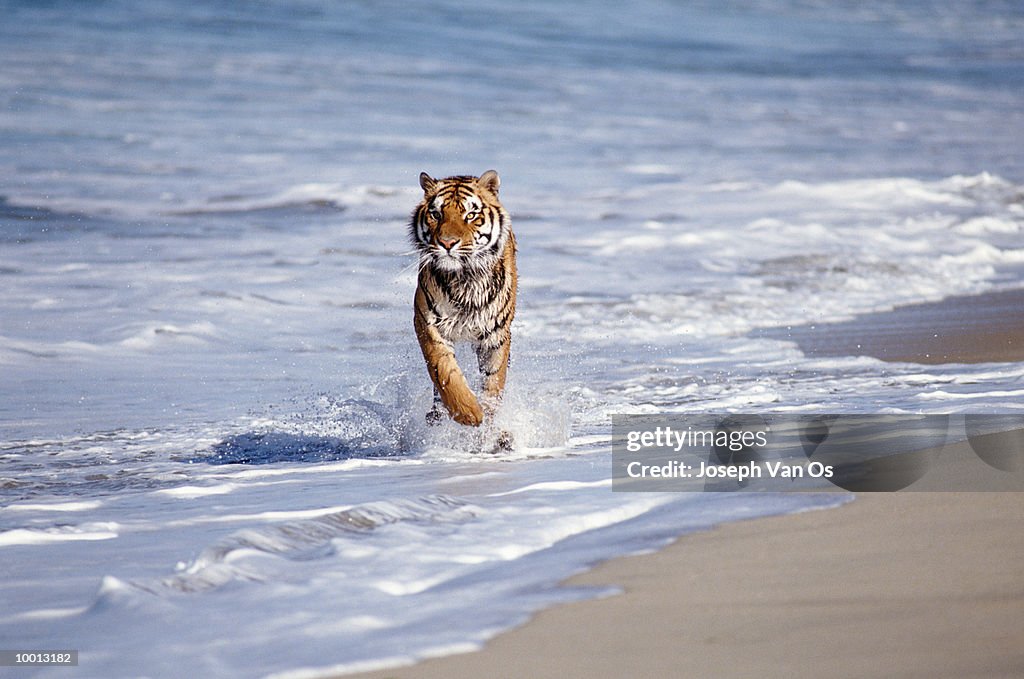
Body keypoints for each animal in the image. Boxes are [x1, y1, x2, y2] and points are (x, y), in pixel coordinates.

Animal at [409, 170, 516, 430]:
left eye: (471, 215)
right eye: (436, 214)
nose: (447, 243)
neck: (465, 278)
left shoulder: (496, 334)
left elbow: (493, 380)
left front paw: (488, 422)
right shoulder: (427, 323)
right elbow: (444, 371)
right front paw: (469, 413)